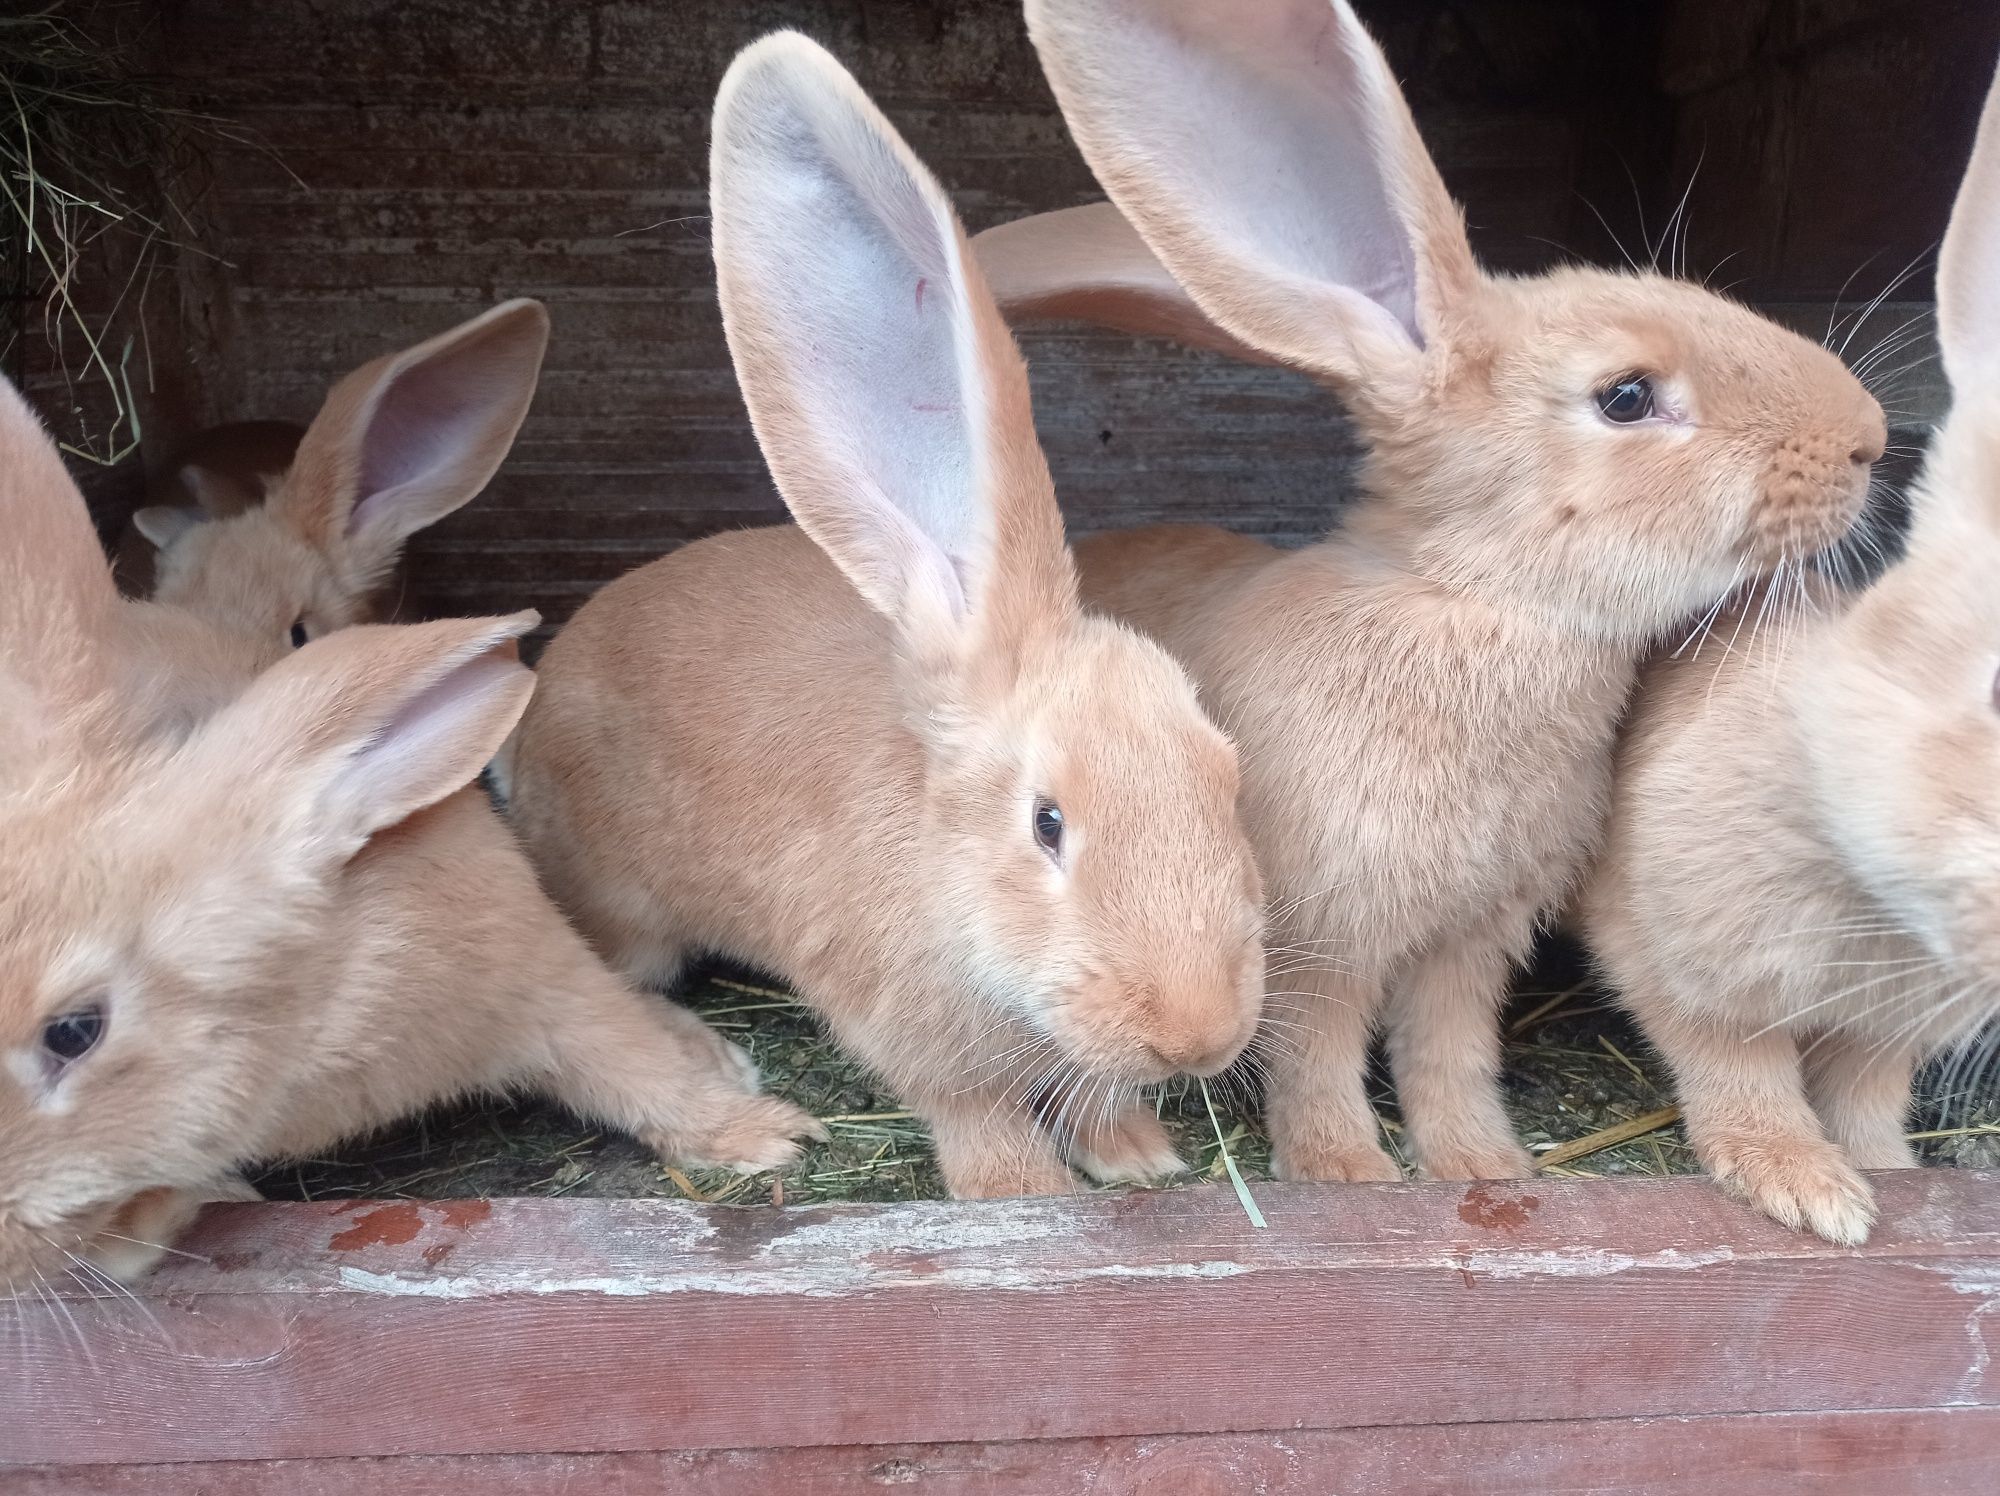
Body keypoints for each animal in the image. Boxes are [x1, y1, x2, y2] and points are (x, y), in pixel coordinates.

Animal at [500, 38, 1256, 1200]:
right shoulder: (910, 1035)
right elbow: (976, 1117)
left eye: (1227, 775)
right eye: (1046, 822)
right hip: (624, 905)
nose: (1199, 1034)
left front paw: (1138, 1157)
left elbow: (1092, 1096)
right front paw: (1024, 1193)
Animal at [972, 0, 1888, 1184]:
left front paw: (1483, 1167)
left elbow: (1447, 1052)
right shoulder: (1318, 935)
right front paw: (1345, 1175)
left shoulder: (1472, 937)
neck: (1475, 603)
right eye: (1625, 396)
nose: (1869, 437)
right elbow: (1316, 1055)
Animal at [1576, 64, 2000, 1248]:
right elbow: (1740, 1070)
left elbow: (1864, 1092)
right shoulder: (1680, 960)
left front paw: (1882, 1171)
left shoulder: (1886, 1028)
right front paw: (1807, 1192)